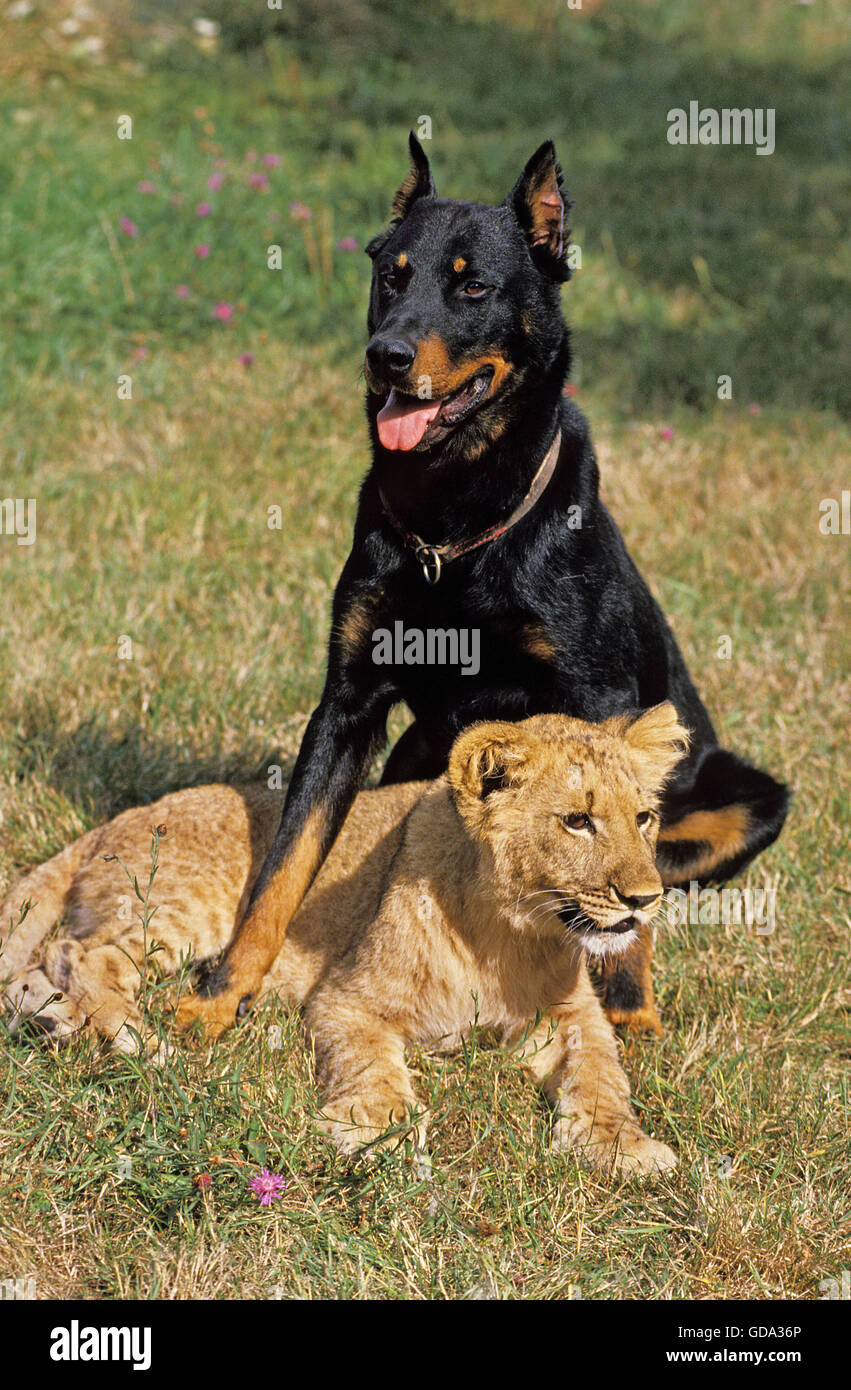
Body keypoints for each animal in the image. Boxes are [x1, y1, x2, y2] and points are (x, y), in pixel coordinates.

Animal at [175, 135, 789, 1039]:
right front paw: (222, 993)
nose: (386, 356)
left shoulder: (596, 692)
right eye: (390, 275)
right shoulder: (347, 702)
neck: (455, 527)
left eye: (472, 285)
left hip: (749, 795)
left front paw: (626, 1008)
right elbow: (286, 865)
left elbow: (620, 838)